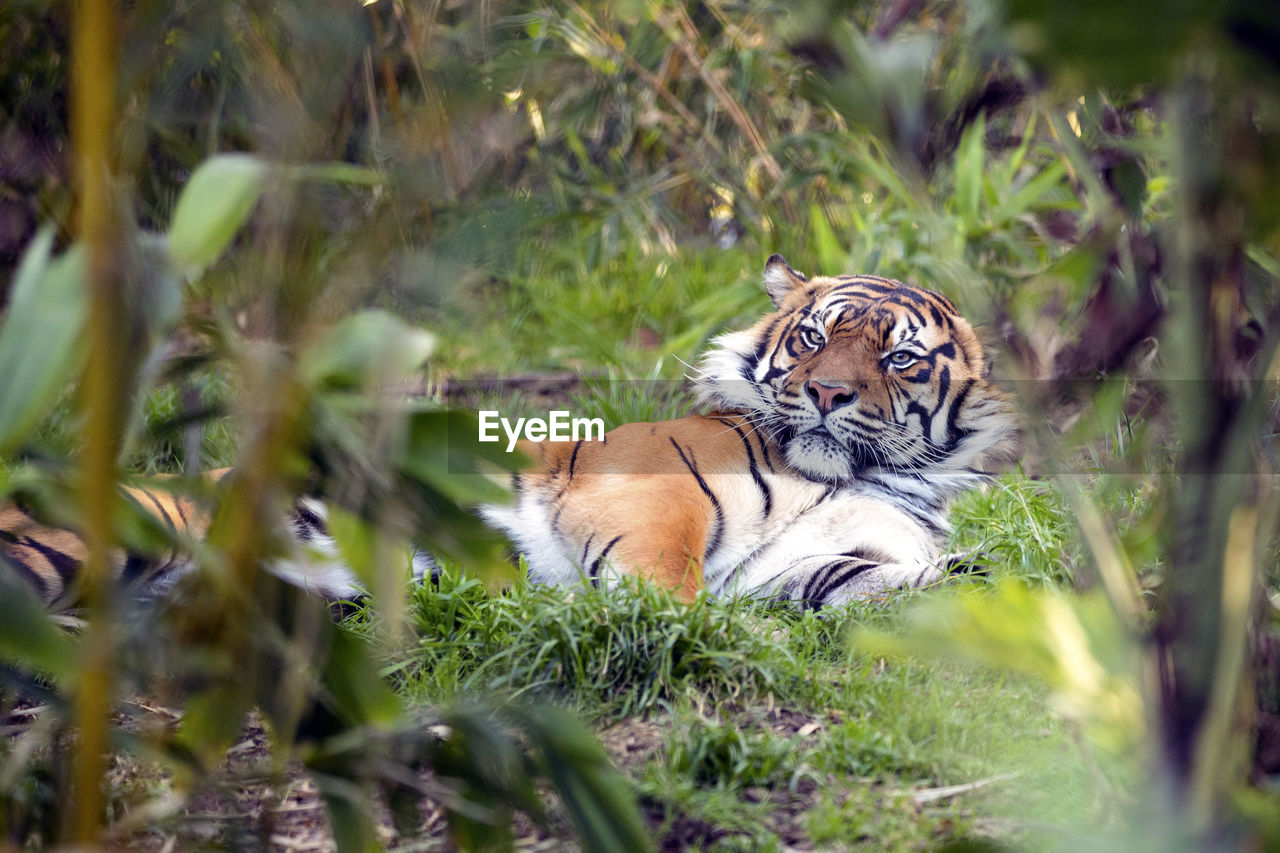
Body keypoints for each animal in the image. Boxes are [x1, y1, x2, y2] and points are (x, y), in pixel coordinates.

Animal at [481, 252, 1018, 604]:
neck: (858, 477)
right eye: (814, 337)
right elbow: (669, 585)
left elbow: (872, 577)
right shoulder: (654, 492)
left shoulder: (784, 565)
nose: (827, 392)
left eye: (899, 358)